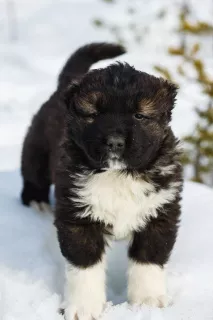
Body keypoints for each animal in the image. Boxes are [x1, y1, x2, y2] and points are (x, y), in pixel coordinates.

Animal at [20, 42, 182, 320]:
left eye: (140, 116)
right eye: (93, 114)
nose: (114, 142)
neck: (118, 175)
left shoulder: (160, 211)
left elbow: (149, 258)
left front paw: (147, 302)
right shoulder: (78, 216)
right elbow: (85, 265)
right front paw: (84, 308)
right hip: (37, 146)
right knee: (32, 175)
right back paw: (37, 202)